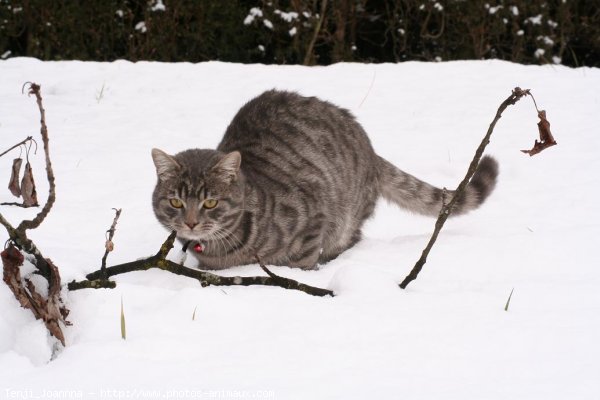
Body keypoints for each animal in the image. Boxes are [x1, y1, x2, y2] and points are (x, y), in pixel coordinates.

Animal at [151, 89, 496, 270]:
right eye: (176, 202)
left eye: (210, 202)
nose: (191, 223)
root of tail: (369, 149)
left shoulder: (313, 216)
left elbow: (302, 262)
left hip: (344, 215)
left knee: (351, 238)